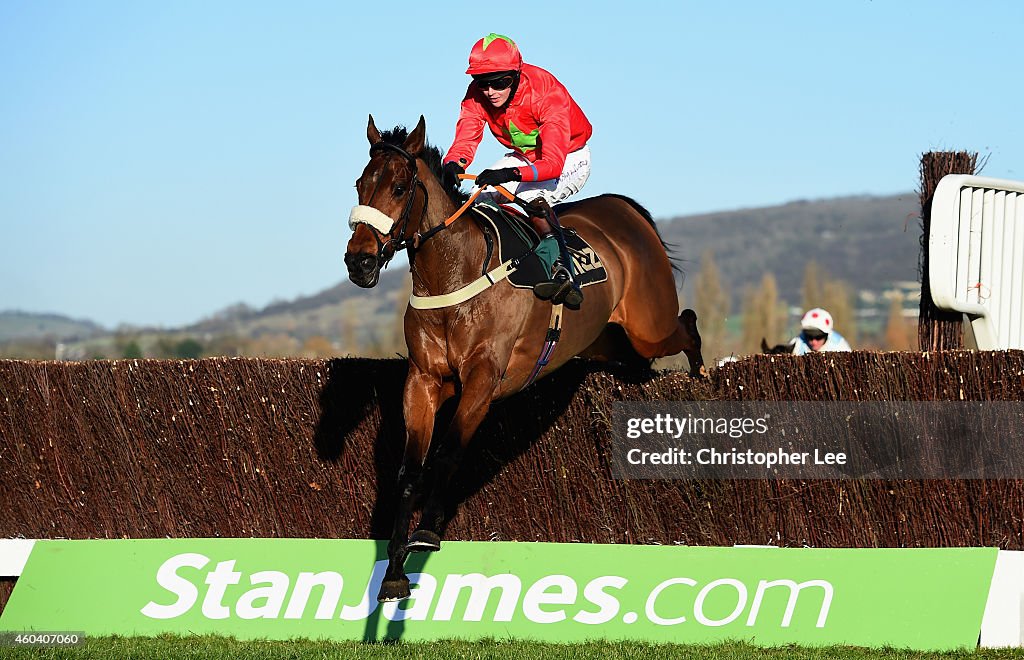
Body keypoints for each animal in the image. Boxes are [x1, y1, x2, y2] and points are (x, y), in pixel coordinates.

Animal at [344, 114, 704, 601]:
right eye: (360, 184)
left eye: (400, 187)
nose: (359, 263)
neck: (453, 274)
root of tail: (625, 211)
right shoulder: (422, 380)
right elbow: (409, 470)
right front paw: (395, 572)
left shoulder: (483, 378)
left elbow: (448, 453)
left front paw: (428, 531)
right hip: (608, 340)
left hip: (650, 326)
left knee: (687, 324)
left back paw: (701, 375)